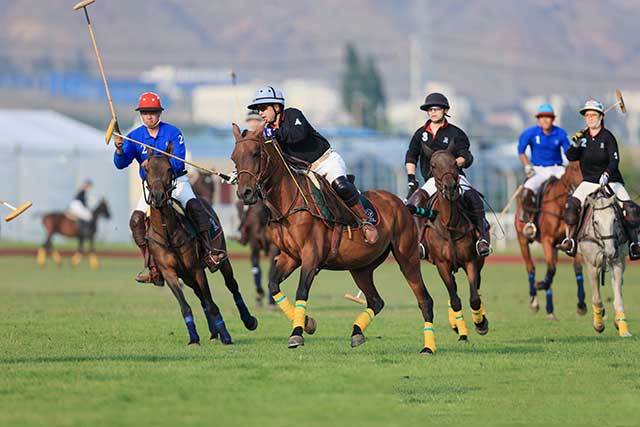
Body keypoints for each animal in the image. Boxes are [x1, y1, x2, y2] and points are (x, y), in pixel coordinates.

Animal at [145, 145, 258, 346]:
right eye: (147, 170)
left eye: (168, 169)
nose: (157, 196)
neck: (168, 233)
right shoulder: (170, 273)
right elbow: (186, 306)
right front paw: (194, 338)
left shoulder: (196, 268)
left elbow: (212, 304)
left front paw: (226, 336)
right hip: (187, 277)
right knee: (202, 299)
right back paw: (213, 333)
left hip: (220, 260)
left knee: (231, 286)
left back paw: (247, 321)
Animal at [230, 124, 436, 354]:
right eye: (234, 158)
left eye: (255, 154)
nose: (245, 193)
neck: (289, 203)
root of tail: (401, 202)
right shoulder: (289, 257)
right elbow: (273, 285)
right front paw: (307, 323)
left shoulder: (311, 255)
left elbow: (302, 291)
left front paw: (297, 334)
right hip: (361, 267)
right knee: (376, 301)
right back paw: (357, 333)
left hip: (407, 257)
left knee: (425, 300)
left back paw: (428, 348)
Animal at [408, 145, 488, 342]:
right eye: (433, 165)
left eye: (454, 163)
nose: (450, 188)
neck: (450, 224)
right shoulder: (442, 265)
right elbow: (455, 299)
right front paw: (462, 332)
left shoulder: (470, 261)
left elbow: (474, 298)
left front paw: (480, 324)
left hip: (480, 260)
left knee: (477, 287)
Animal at [512, 162, 588, 320]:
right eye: (574, 168)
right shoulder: (547, 240)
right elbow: (551, 269)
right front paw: (540, 285)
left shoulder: (572, 242)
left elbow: (577, 268)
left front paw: (581, 305)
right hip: (522, 239)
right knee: (531, 267)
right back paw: (534, 302)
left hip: (554, 248)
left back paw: (550, 310)